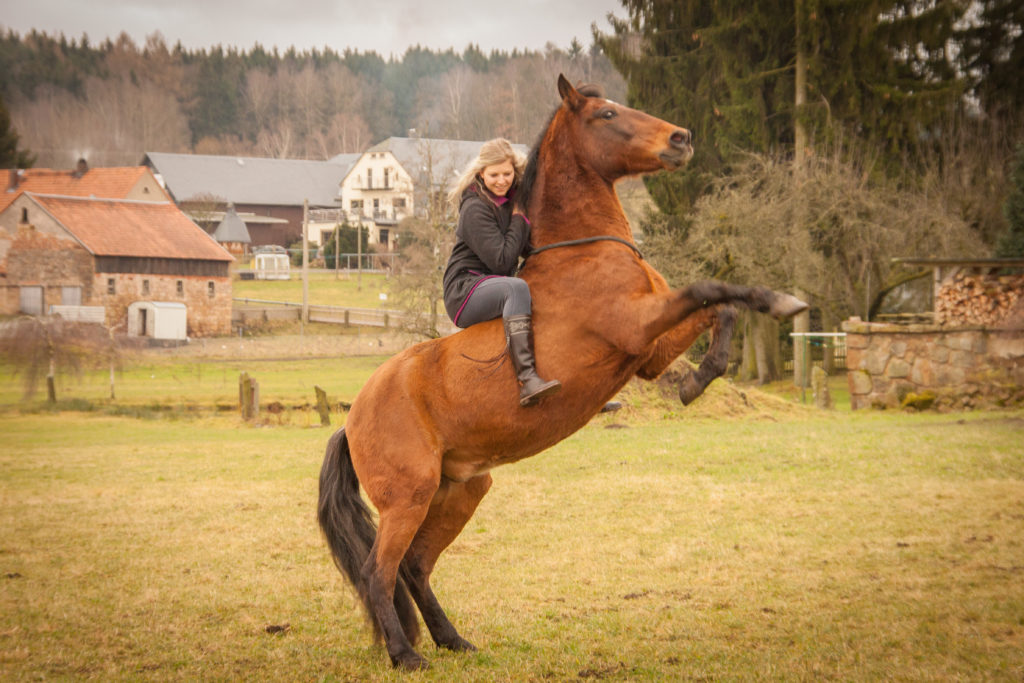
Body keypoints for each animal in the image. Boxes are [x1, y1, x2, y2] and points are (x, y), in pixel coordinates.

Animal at [319, 74, 806, 667]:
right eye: (606, 113)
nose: (682, 138)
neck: (585, 247)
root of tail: (352, 419)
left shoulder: (650, 350)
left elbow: (720, 306)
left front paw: (700, 377)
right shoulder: (637, 326)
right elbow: (711, 289)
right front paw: (782, 303)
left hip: (460, 490)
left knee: (415, 566)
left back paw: (453, 640)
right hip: (408, 497)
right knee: (379, 571)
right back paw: (405, 654)